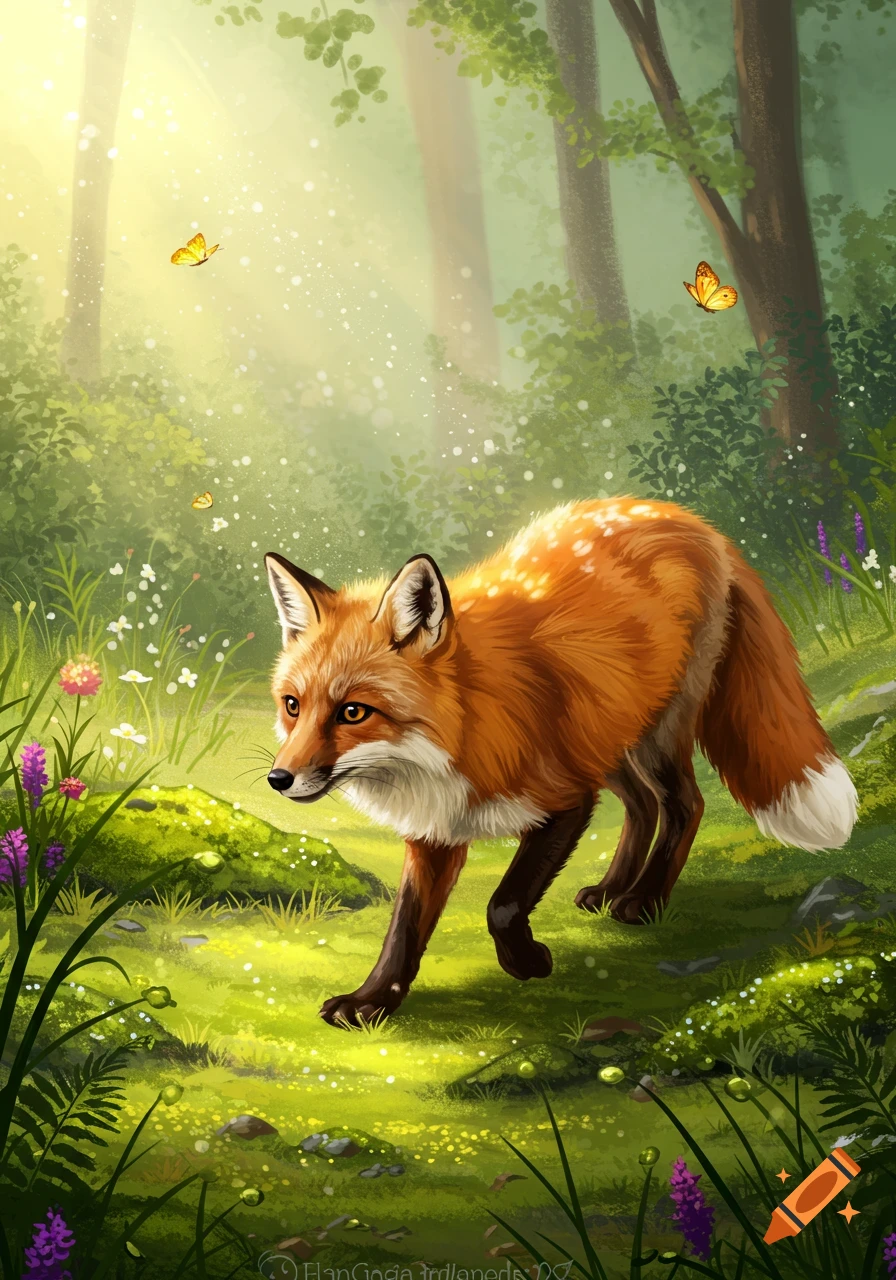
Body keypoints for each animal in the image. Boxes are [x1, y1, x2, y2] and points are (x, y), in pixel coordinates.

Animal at [263, 497, 858, 1028]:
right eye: (292, 706)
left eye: (353, 712)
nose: (278, 779)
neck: (464, 723)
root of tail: (689, 519)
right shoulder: (436, 831)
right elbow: (404, 928)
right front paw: (372, 1001)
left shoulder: (565, 800)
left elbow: (502, 905)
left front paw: (525, 962)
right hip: (608, 734)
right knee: (643, 805)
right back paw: (613, 890)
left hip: (655, 735)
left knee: (684, 804)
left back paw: (643, 900)